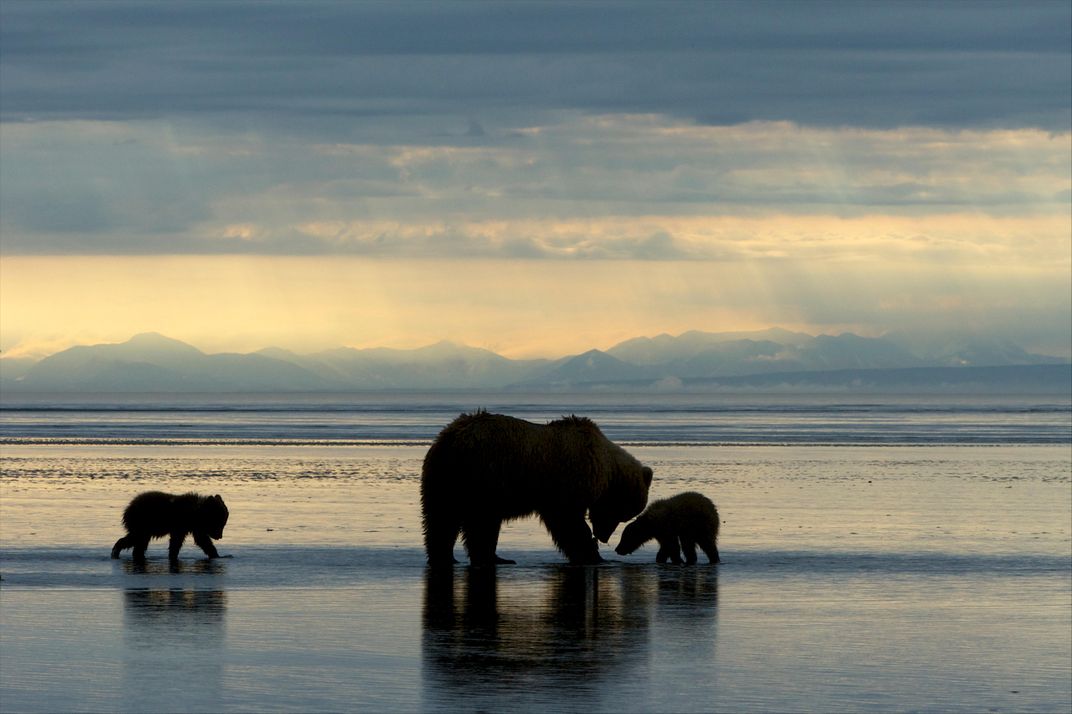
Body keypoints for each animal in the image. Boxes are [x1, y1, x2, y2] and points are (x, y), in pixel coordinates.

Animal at [421, 411, 653, 567]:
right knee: (480, 521)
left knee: (441, 518)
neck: (605, 467)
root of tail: (451, 437)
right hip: (485, 475)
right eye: (621, 513)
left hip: (444, 479)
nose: (604, 537)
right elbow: (567, 522)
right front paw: (591, 553)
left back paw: (447, 556)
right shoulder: (568, 480)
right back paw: (493, 558)